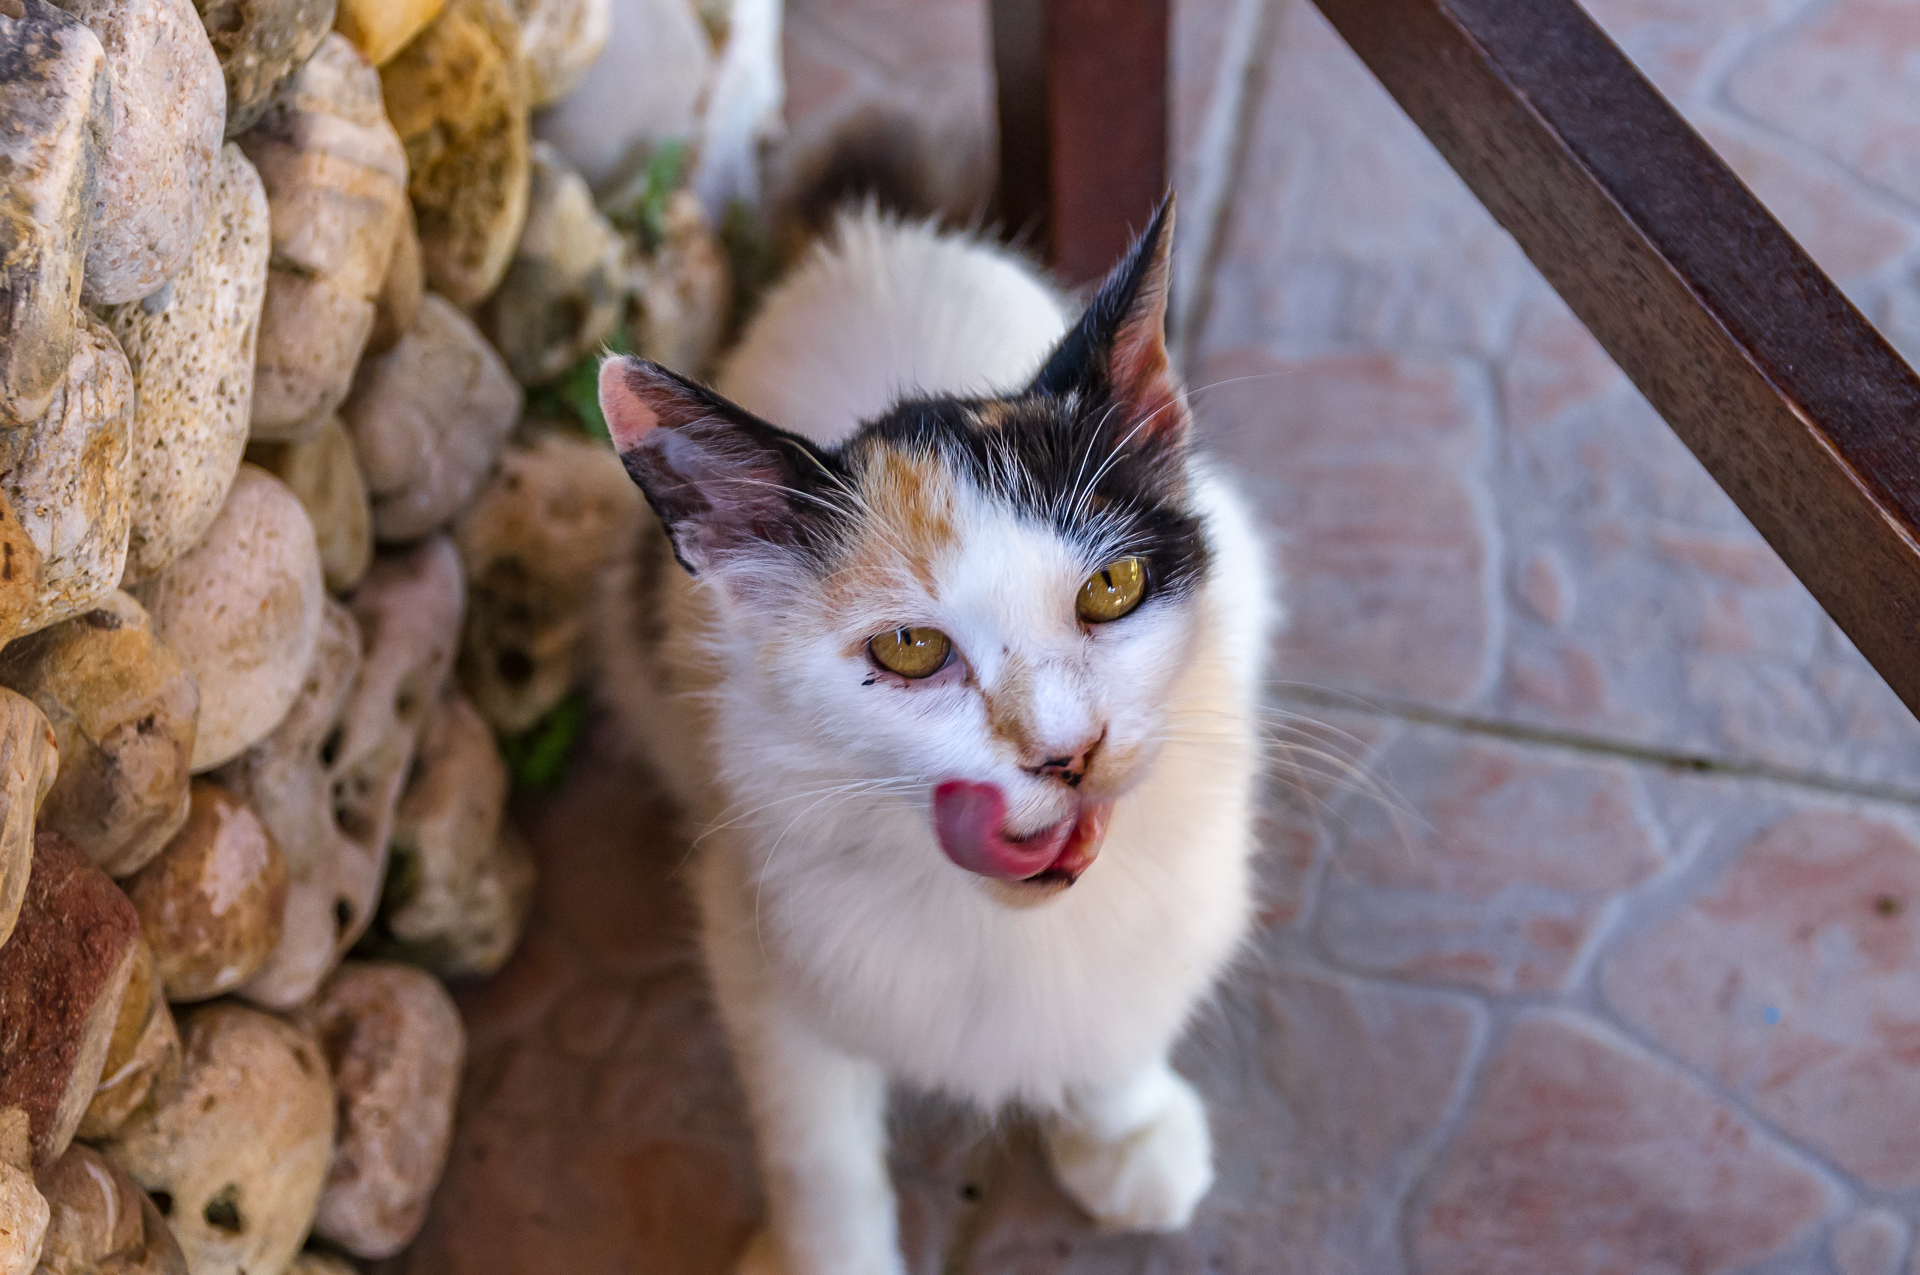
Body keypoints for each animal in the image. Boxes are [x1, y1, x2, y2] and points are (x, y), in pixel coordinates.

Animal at [591, 199, 1267, 1275]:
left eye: (1112, 587)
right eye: (909, 648)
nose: (1064, 752)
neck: (1006, 928)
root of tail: (867, 236)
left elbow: (1133, 986)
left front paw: (1123, 1128)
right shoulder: (754, 917)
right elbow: (812, 1139)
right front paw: (826, 1257)